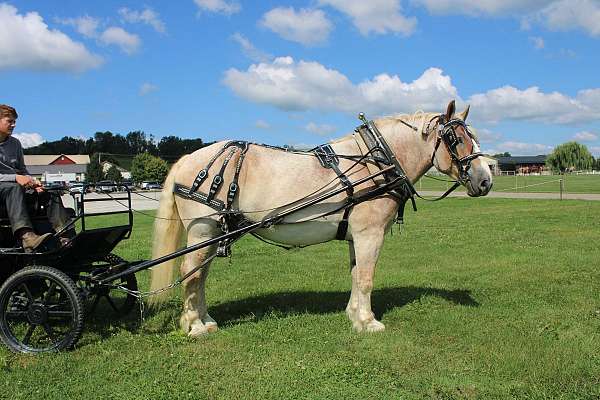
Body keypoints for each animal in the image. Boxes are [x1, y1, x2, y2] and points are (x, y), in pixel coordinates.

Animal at [150, 100, 492, 334]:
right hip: (204, 230)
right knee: (191, 273)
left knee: (200, 275)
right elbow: (366, 278)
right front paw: (369, 322)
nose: (486, 180)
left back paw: (205, 320)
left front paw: (354, 316)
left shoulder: (356, 235)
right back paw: (194, 326)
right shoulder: (370, 234)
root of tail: (187, 159)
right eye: (456, 139)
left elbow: (356, 274)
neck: (376, 162)